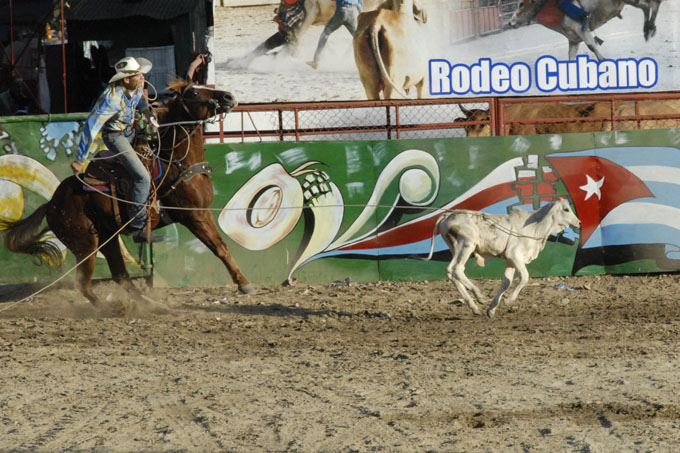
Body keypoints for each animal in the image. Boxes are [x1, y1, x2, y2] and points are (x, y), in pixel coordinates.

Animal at [1, 78, 254, 304]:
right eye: (193, 92)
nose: (228, 97)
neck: (177, 162)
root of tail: (52, 204)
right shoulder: (194, 214)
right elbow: (220, 248)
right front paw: (244, 284)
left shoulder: (200, 213)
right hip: (86, 244)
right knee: (84, 284)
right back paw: (113, 308)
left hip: (107, 238)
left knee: (120, 275)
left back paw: (152, 306)